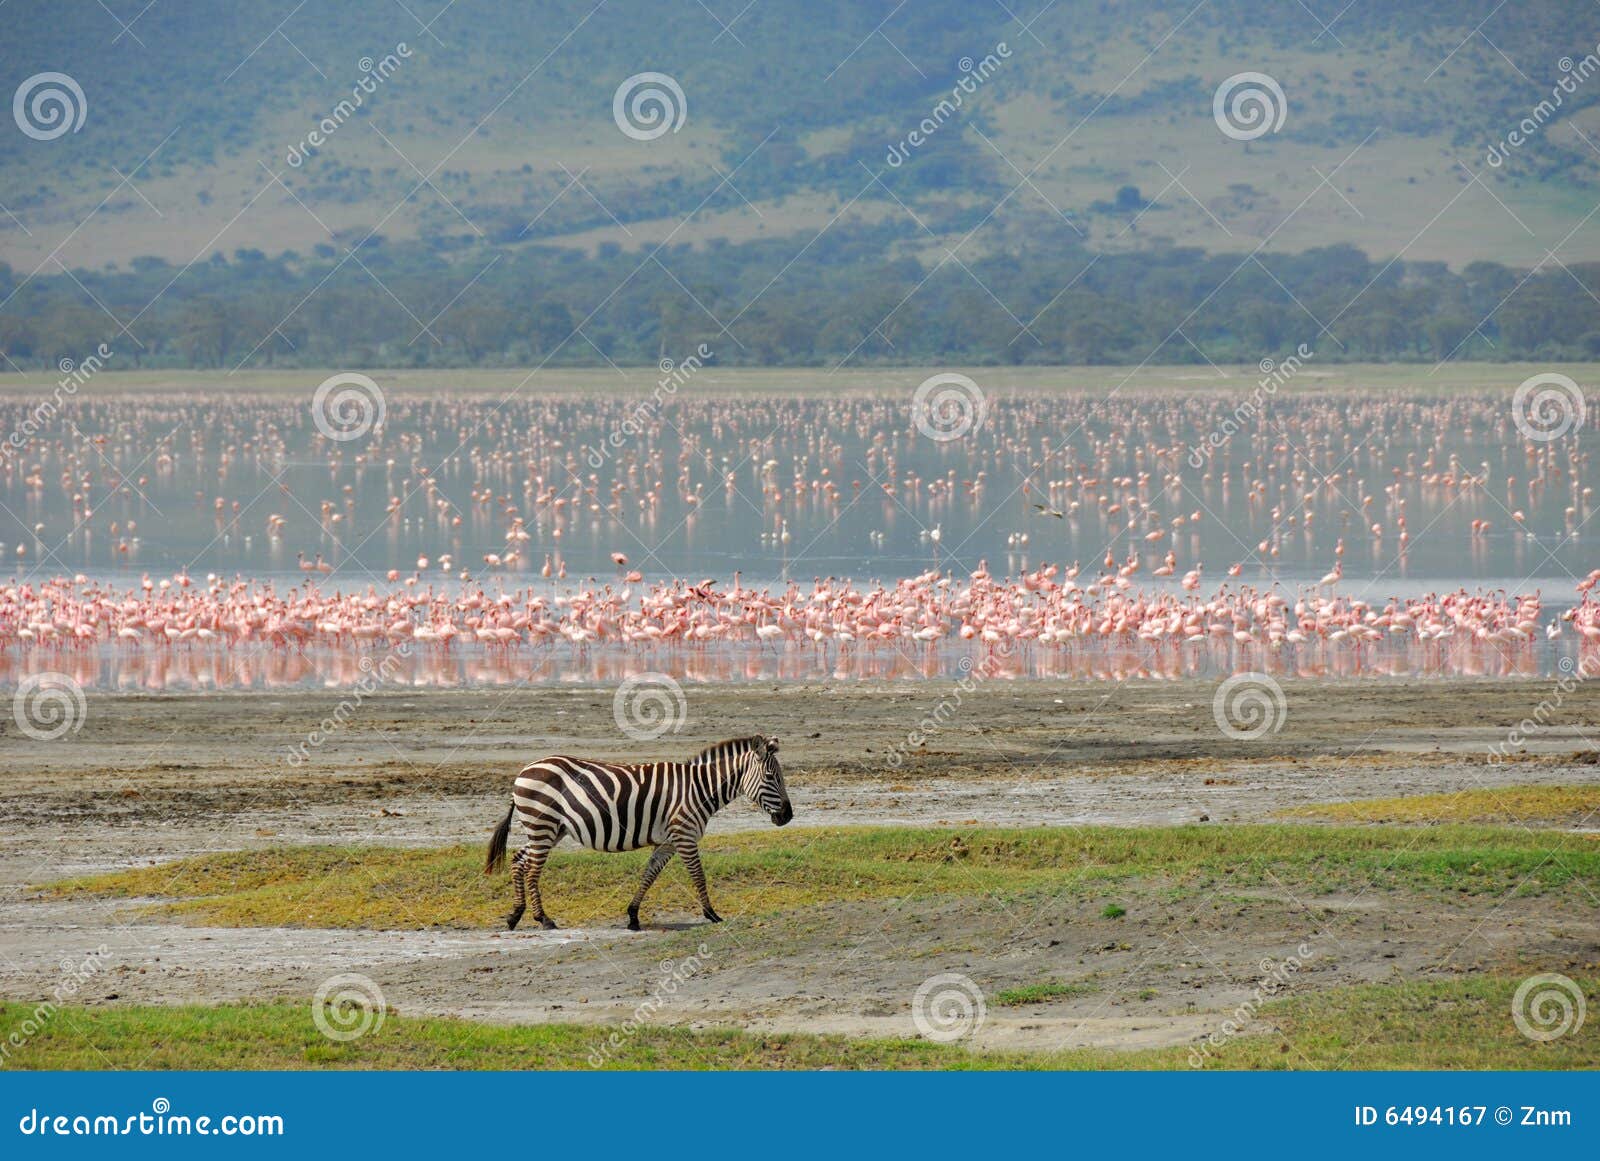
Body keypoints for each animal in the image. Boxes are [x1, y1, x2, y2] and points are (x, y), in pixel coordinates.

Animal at [484, 735, 793, 931]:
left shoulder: (668, 842)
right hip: (543, 825)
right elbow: (698, 876)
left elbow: (649, 874)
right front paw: (712, 914)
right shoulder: (685, 835)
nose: (788, 816)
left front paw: (633, 916)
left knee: (518, 860)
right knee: (532, 870)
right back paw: (543, 919)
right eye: (770, 777)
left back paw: (515, 916)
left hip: (549, 828)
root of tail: (524, 770)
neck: (698, 790)